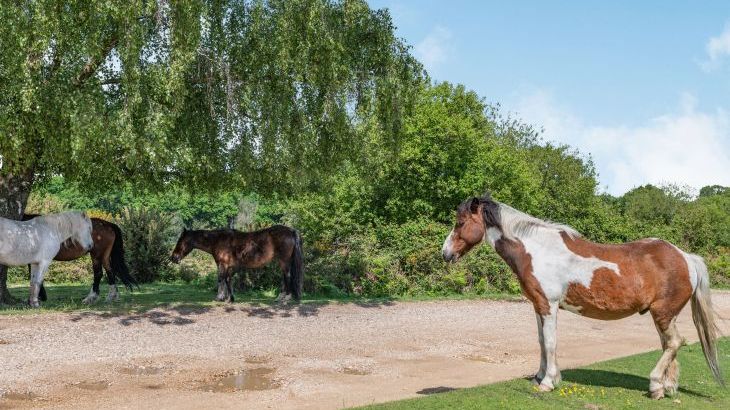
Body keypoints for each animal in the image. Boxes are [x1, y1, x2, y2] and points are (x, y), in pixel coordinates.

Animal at [170, 224, 302, 302]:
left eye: (180, 241)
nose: (173, 258)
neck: (218, 240)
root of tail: (291, 231)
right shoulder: (229, 266)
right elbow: (228, 280)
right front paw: (230, 298)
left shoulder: (222, 264)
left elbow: (221, 279)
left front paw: (220, 297)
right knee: (284, 277)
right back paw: (280, 297)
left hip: (284, 261)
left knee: (287, 276)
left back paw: (286, 298)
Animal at [440, 194, 720, 398]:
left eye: (460, 223)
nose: (445, 253)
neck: (537, 250)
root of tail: (685, 257)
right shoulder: (538, 306)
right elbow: (541, 342)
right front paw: (540, 377)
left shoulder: (549, 305)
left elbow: (550, 342)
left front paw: (548, 382)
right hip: (665, 314)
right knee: (670, 344)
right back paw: (666, 388)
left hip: (662, 312)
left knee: (674, 342)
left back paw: (654, 385)